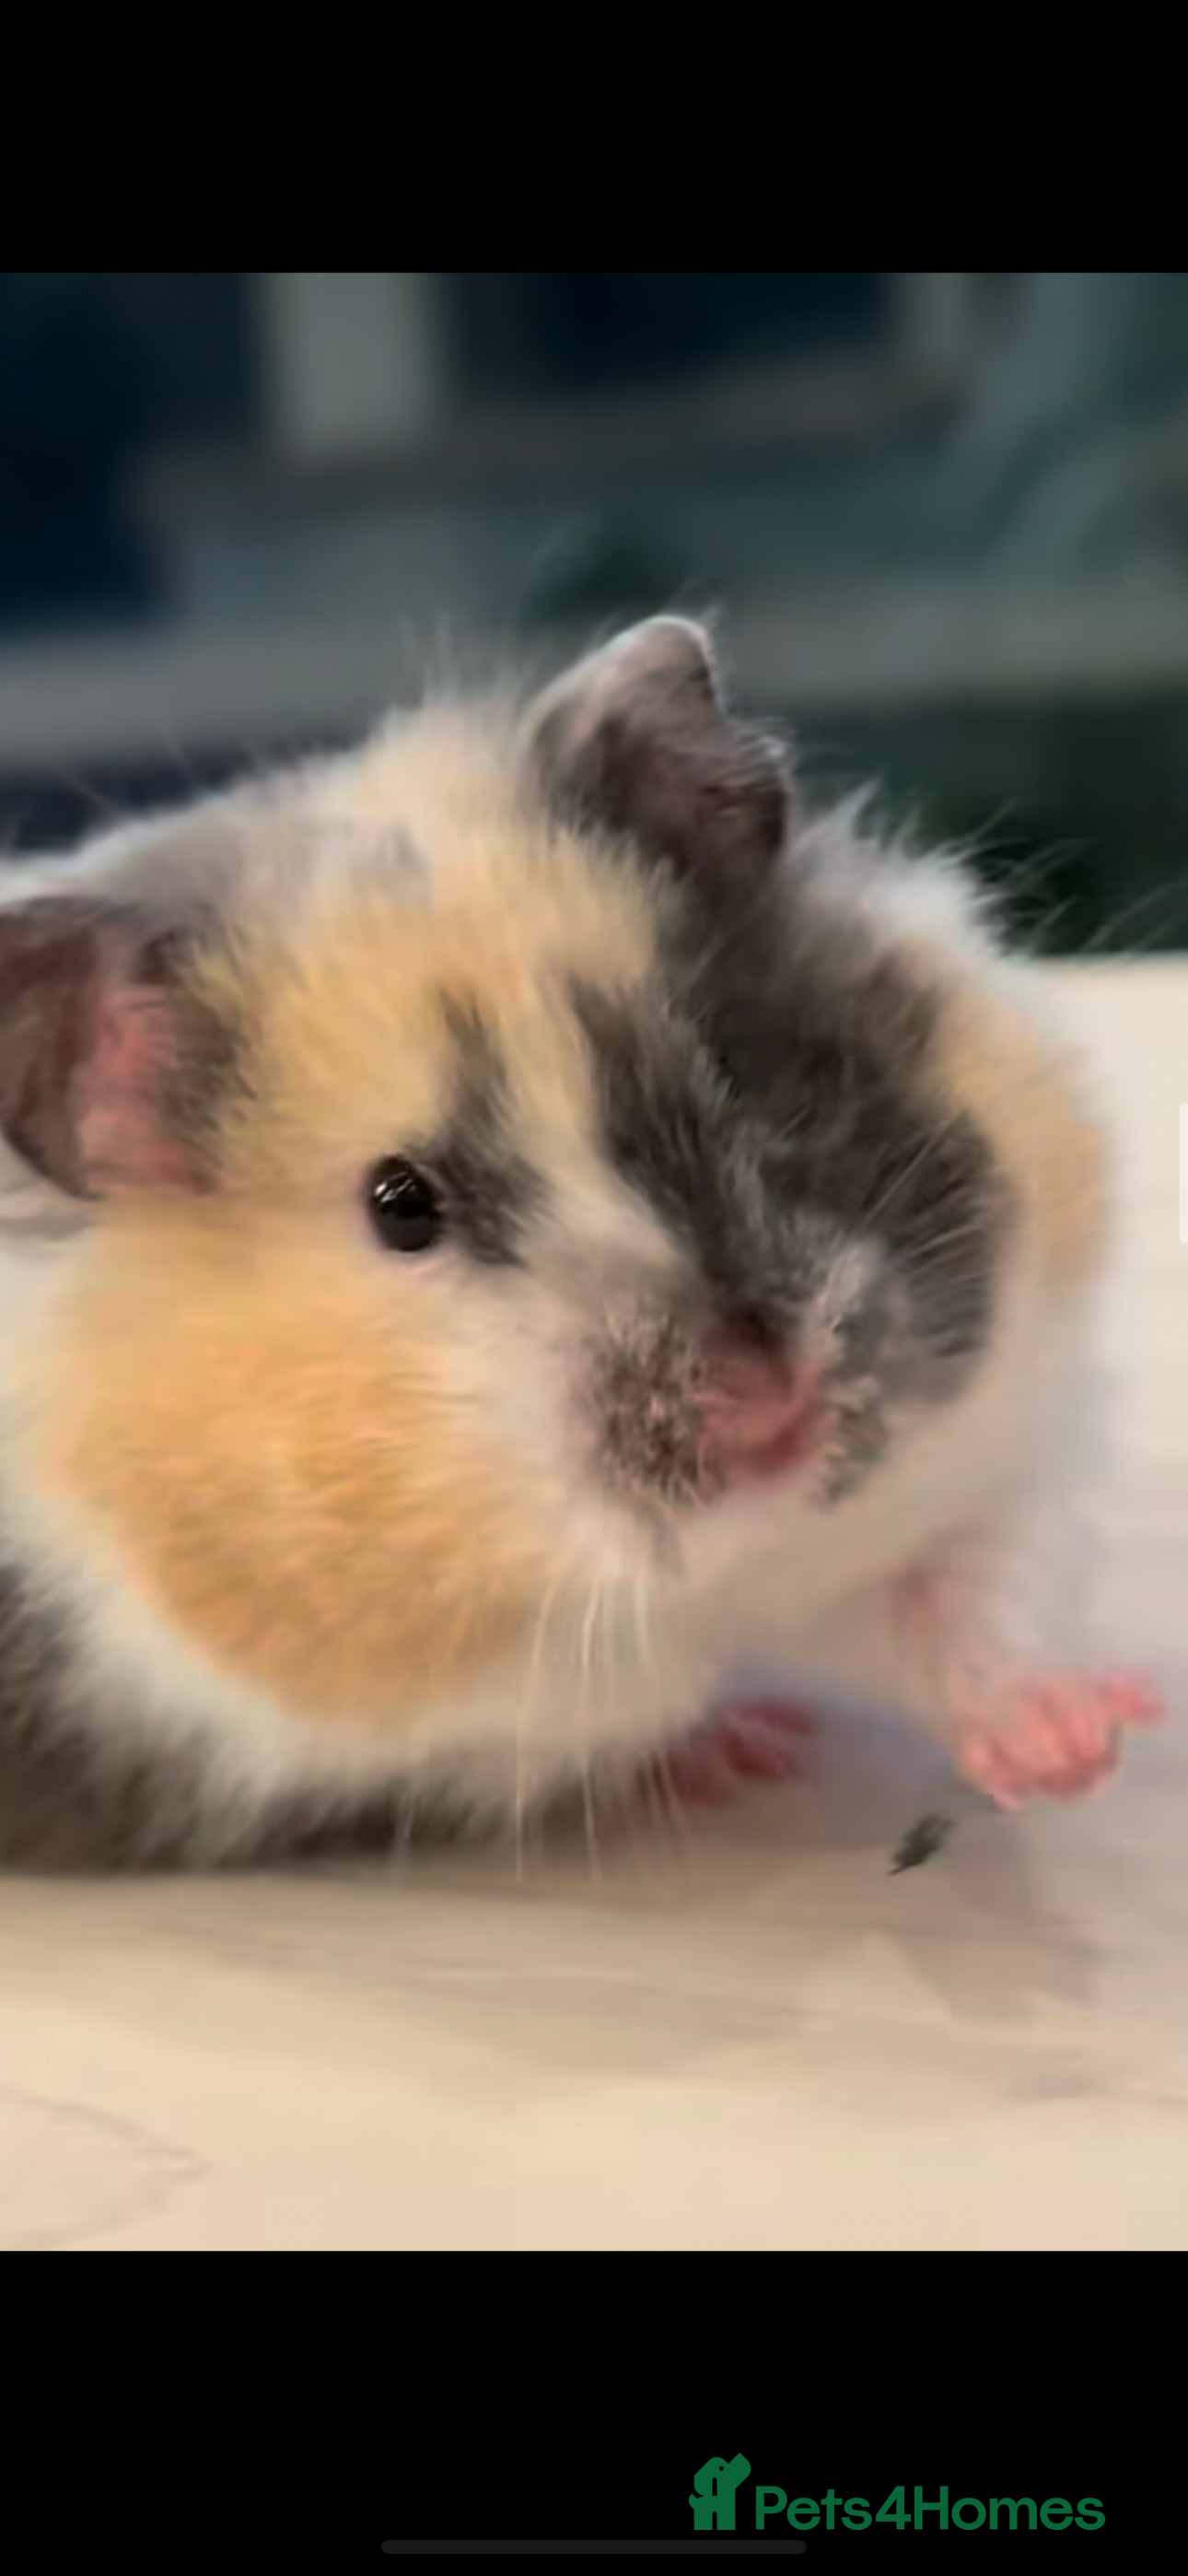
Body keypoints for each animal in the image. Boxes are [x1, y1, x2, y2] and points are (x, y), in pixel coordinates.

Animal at [0, 615, 1159, 1867]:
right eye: (400, 1204)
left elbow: (959, 1606)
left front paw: (1087, 1745)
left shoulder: (973, 1464)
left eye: (733, 1068)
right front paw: (747, 1750)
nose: (772, 1406)